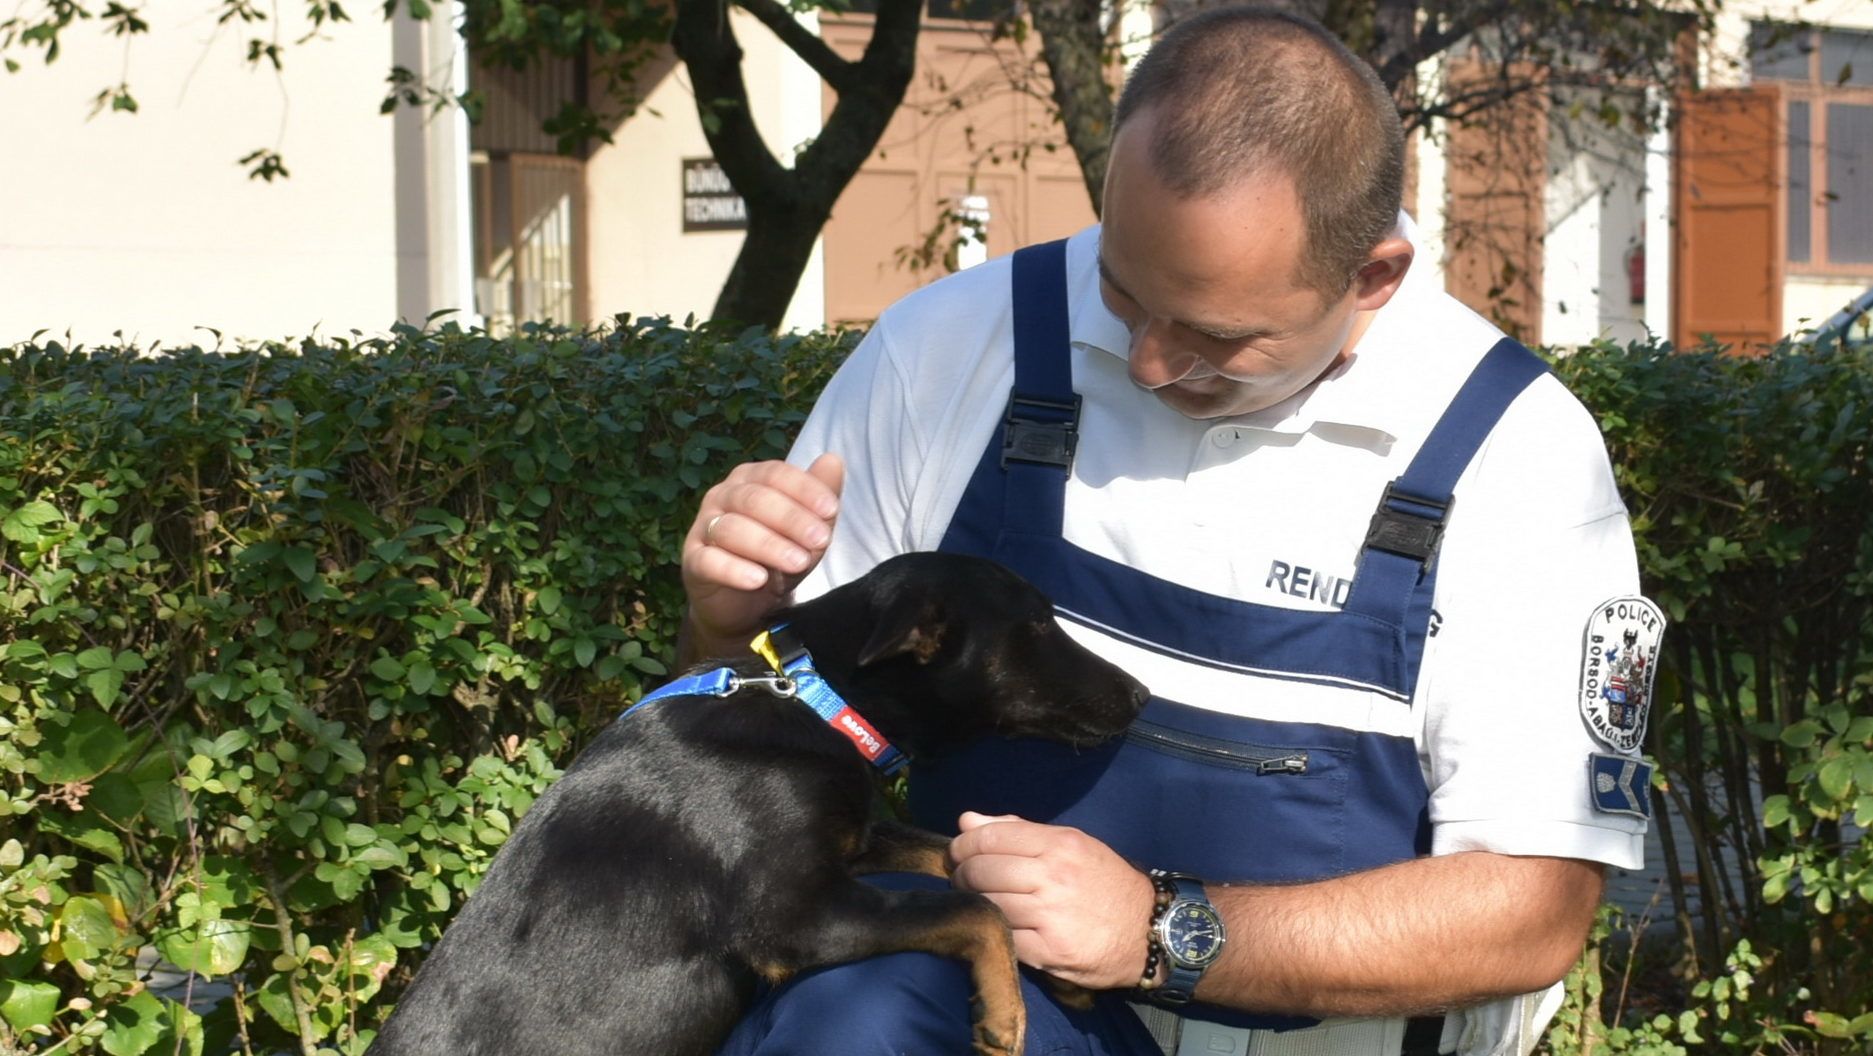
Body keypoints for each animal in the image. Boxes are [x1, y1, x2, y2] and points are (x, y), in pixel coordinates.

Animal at [368, 554, 1138, 1056]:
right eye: (1036, 626)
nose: (1140, 696)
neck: (814, 698)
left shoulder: (855, 846)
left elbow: (958, 863)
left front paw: (1056, 970)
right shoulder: (793, 917)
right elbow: (972, 908)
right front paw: (1006, 1014)